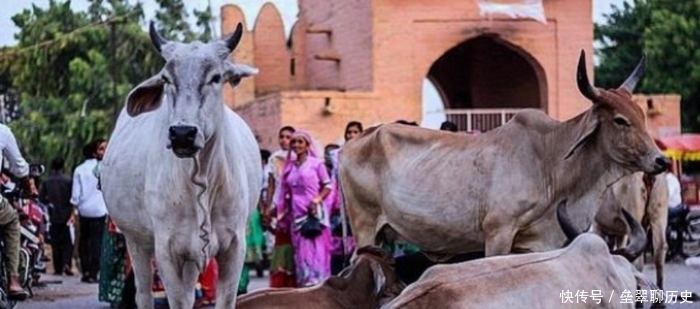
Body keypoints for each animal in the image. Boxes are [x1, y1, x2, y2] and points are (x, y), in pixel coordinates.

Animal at [100, 21, 262, 308]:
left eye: (216, 77)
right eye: (166, 79)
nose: (182, 133)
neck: (201, 179)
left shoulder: (234, 247)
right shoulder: (167, 249)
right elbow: (176, 300)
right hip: (136, 241)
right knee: (143, 293)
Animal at [340, 49, 672, 258]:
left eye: (643, 116)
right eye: (620, 120)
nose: (663, 160)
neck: (550, 163)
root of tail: (354, 143)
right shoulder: (497, 233)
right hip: (364, 226)